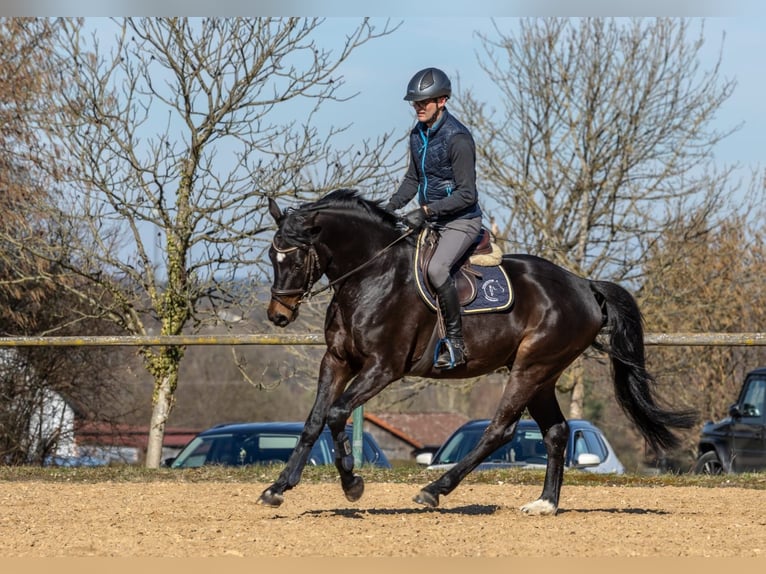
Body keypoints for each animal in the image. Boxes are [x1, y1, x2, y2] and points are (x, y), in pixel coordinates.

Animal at [259, 188, 696, 515]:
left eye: (296, 257)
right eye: (271, 255)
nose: (278, 315)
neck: (371, 275)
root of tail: (584, 285)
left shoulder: (382, 367)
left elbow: (336, 414)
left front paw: (352, 483)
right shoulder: (336, 361)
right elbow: (314, 420)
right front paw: (278, 488)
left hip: (531, 368)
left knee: (499, 430)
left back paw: (435, 489)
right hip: (542, 375)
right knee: (556, 431)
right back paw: (545, 503)